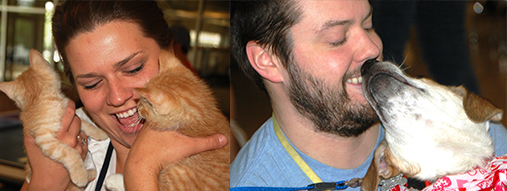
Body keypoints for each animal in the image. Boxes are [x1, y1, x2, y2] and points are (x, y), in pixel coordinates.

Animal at [0, 49, 107, 190]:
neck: (43, 99)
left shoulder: (71, 114)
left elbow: (85, 123)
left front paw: (99, 132)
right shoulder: (45, 140)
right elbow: (69, 152)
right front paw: (79, 174)